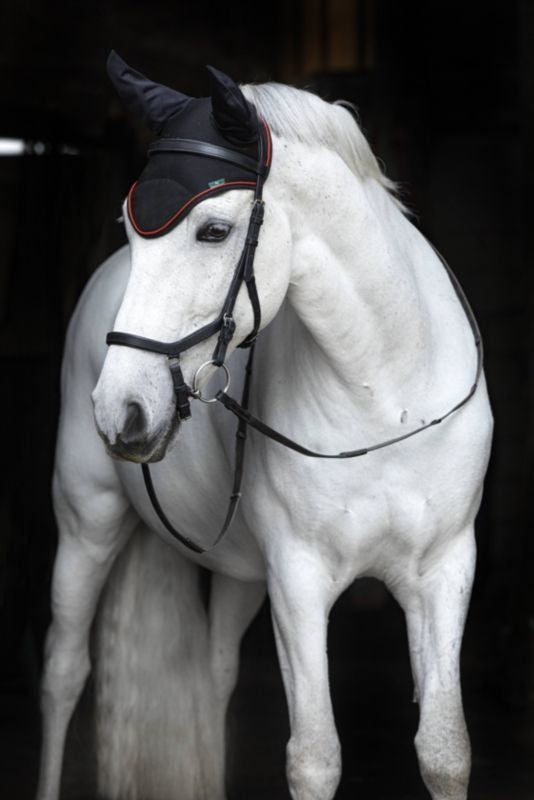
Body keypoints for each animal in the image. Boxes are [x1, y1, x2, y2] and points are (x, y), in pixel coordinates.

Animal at [36, 52, 493, 800]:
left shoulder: (445, 569)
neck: (385, 393)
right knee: (63, 674)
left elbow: (445, 749)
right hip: (87, 525)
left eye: (214, 231)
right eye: (130, 229)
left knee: (214, 678)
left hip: (239, 572)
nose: (120, 410)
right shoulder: (299, 579)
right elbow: (314, 757)